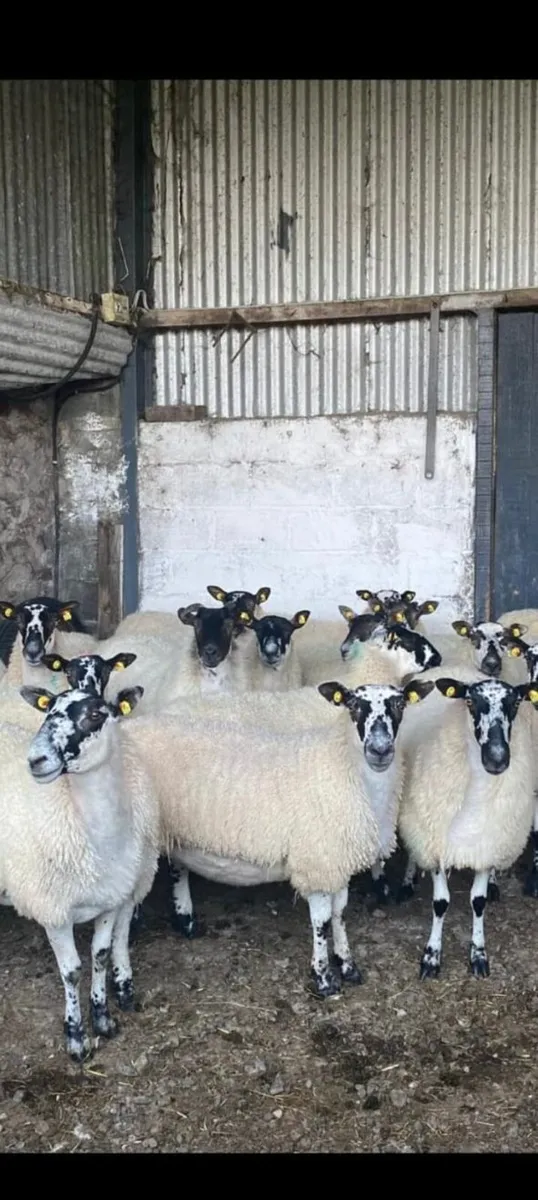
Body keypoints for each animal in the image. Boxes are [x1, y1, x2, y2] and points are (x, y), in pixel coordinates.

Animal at [0, 680, 159, 1062]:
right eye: (46, 710)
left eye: (96, 714)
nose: (36, 760)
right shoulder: (53, 909)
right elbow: (71, 972)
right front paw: (75, 1038)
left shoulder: (110, 899)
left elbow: (100, 955)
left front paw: (102, 1019)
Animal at [120, 676, 434, 996]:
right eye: (354, 706)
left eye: (400, 704)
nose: (380, 750)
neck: (343, 765)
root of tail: (132, 725)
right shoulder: (316, 863)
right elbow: (321, 921)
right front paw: (323, 978)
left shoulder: (336, 861)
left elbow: (339, 913)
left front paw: (348, 966)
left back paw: (185, 922)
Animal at [397, 666, 536, 979]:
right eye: (471, 703)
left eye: (515, 703)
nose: (497, 759)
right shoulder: (436, 843)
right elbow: (440, 904)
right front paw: (431, 957)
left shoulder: (487, 845)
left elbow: (478, 901)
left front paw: (478, 955)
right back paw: (408, 880)